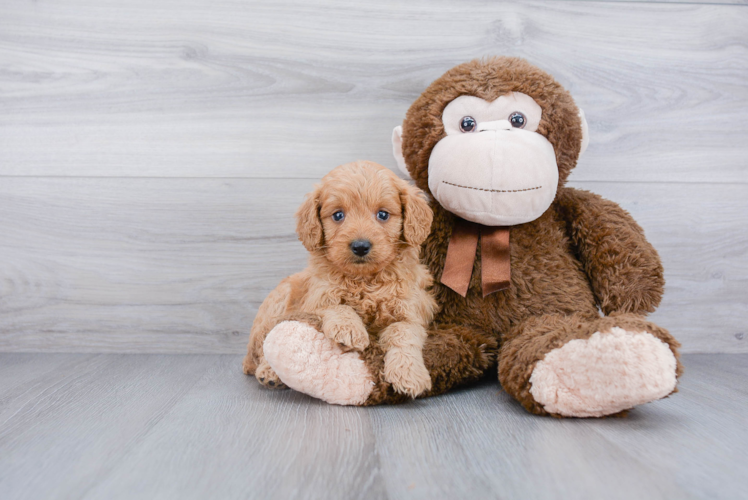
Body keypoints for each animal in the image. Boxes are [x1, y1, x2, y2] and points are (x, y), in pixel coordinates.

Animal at [243, 160, 436, 398]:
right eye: (338, 215)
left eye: (382, 215)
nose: (360, 246)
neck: (364, 280)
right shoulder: (318, 297)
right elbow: (337, 306)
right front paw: (350, 330)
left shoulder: (410, 312)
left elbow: (404, 334)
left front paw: (409, 374)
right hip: (277, 303)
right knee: (264, 346)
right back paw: (269, 372)